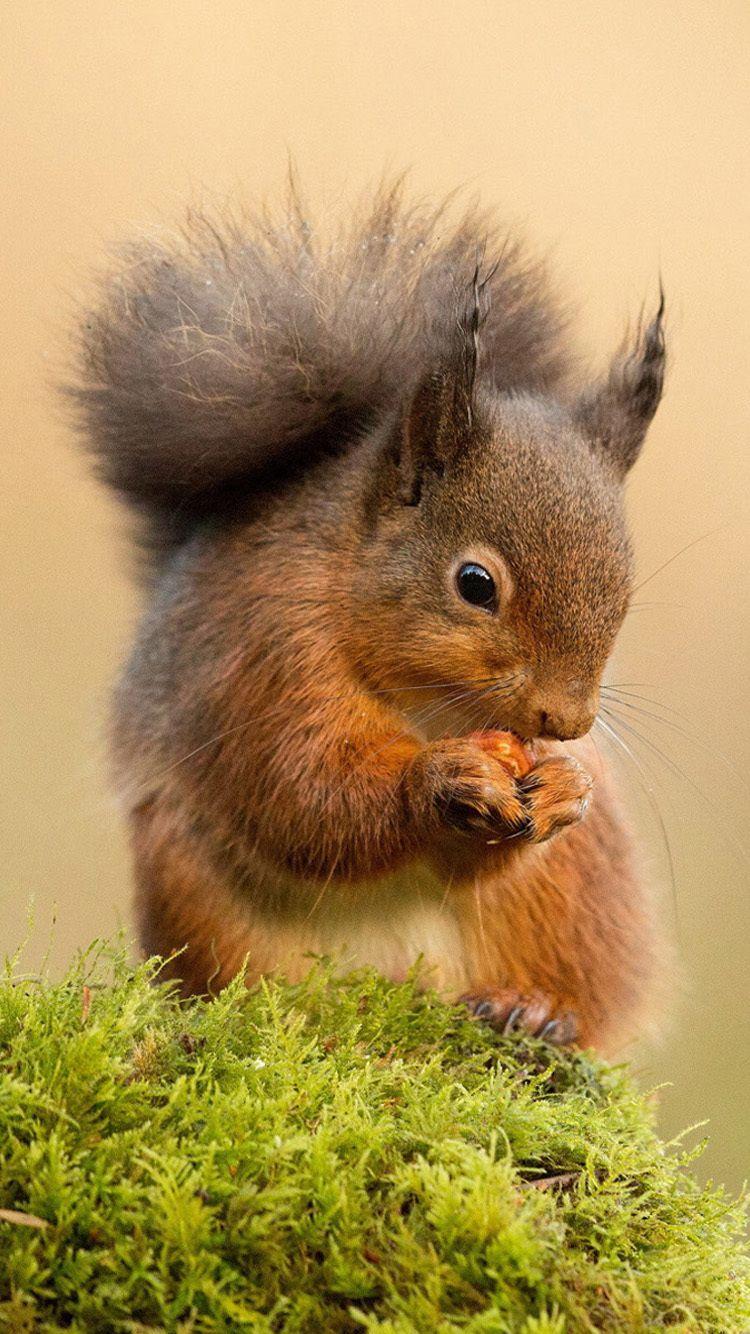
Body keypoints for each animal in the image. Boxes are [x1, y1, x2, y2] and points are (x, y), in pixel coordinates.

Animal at [71, 183, 666, 1053]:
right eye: (475, 583)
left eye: (625, 589)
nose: (567, 721)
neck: (431, 706)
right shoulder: (264, 660)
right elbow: (304, 793)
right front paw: (440, 780)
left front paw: (563, 788)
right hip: (192, 889)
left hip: (577, 898)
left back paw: (533, 1008)